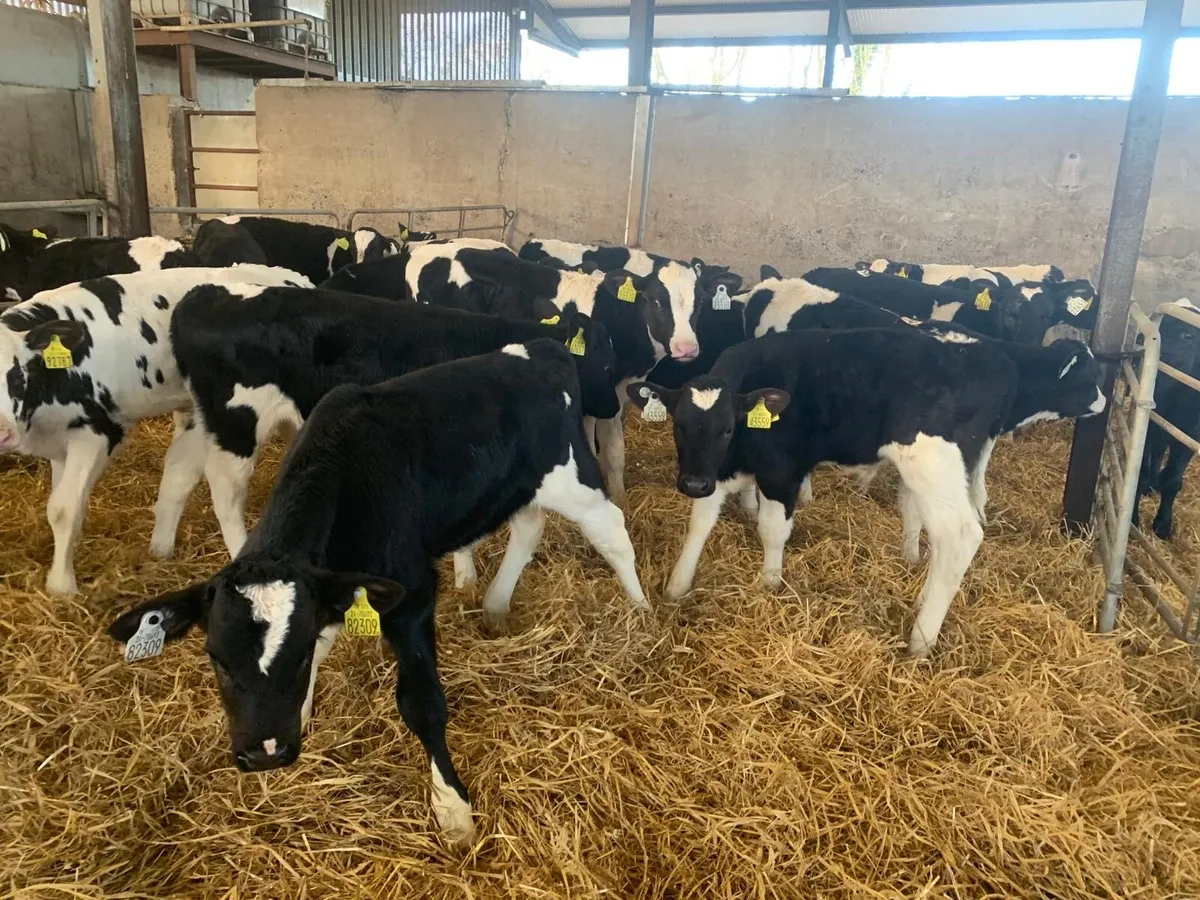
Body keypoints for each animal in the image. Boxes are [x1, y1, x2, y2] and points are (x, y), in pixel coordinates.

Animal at [0, 265, 312, 595]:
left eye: (17, 374)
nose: (3, 434)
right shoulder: (58, 441)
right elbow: (61, 506)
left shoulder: (98, 430)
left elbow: (64, 508)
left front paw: (62, 586)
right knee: (180, 470)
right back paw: (160, 550)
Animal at [107, 338, 648, 845]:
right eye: (216, 660)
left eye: (296, 657)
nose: (265, 753)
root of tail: (541, 349)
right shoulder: (330, 586)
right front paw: (303, 711)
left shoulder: (411, 596)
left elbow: (422, 704)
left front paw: (452, 807)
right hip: (516, 487)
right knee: (530, 526)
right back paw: (496, 605)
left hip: (573, 478)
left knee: (612, 531)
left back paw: (642, 611)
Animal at [627, 326, 1102, 658]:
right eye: (678, 425)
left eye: (728, 427)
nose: (691, 483)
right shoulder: (715, 471)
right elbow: (699, 525)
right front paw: (677, 587)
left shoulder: (781, 470)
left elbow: (772, 531)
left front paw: (770, 585)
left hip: (932, 461)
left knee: (959, 535)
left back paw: (921, 639)